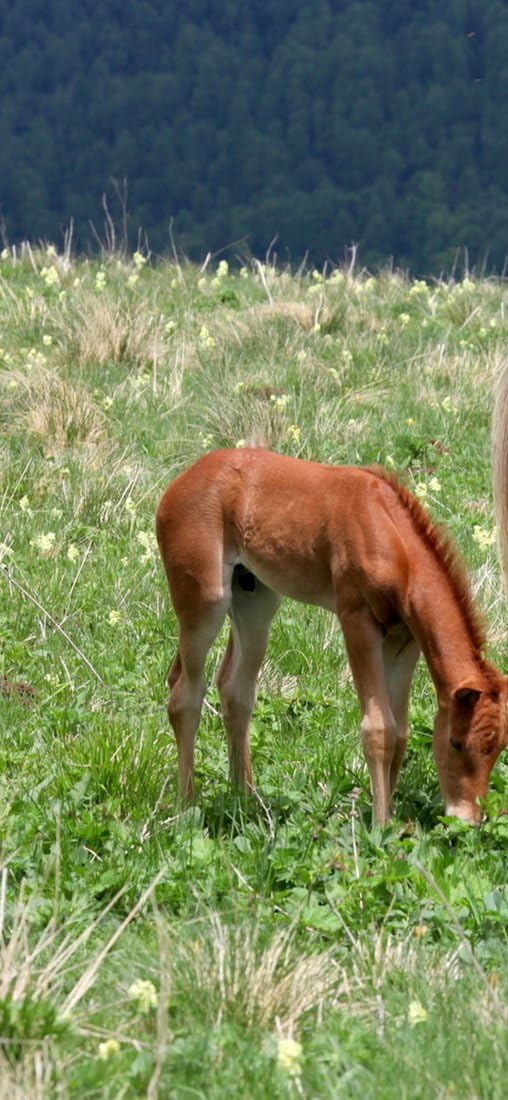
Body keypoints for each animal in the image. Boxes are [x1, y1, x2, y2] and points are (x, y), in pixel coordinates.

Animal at [156, 447, 508, 826]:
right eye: (456, 742)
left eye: (499, 747)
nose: (466, 818)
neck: (390, 534)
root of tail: (183, 479)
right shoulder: (357, 621)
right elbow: (379, 729)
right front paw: (379, 828)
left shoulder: (404, 640)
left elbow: (400, 731)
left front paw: (391, 818)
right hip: (206, 599)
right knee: (184, 694)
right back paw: (186, 807)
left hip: (255, 599)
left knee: (235, 690)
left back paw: (244, 800)